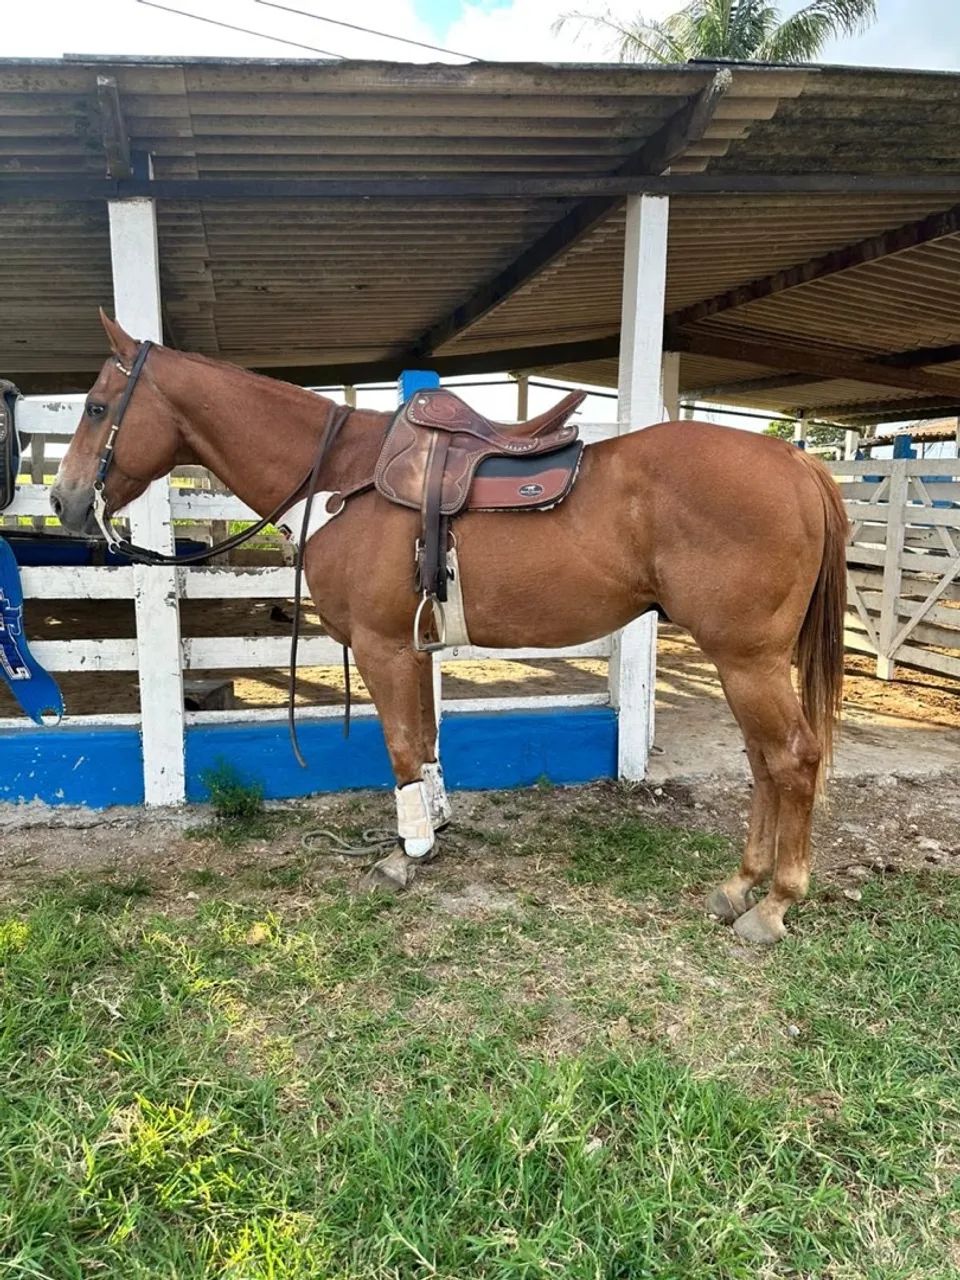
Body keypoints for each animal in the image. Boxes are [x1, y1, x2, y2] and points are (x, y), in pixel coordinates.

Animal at [51, 311, 847, 945]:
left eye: (95, 406)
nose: (63, 501)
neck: (340, 476)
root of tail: (795, 460)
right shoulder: (413, 647)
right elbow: (428, 744)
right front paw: (433, 829)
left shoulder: (382, 647)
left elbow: (403, 746)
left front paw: (405, 855)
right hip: (742, 661)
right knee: (764, 762)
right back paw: (739, 885)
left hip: (747, 658)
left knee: (794, 759)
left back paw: (775, 903)